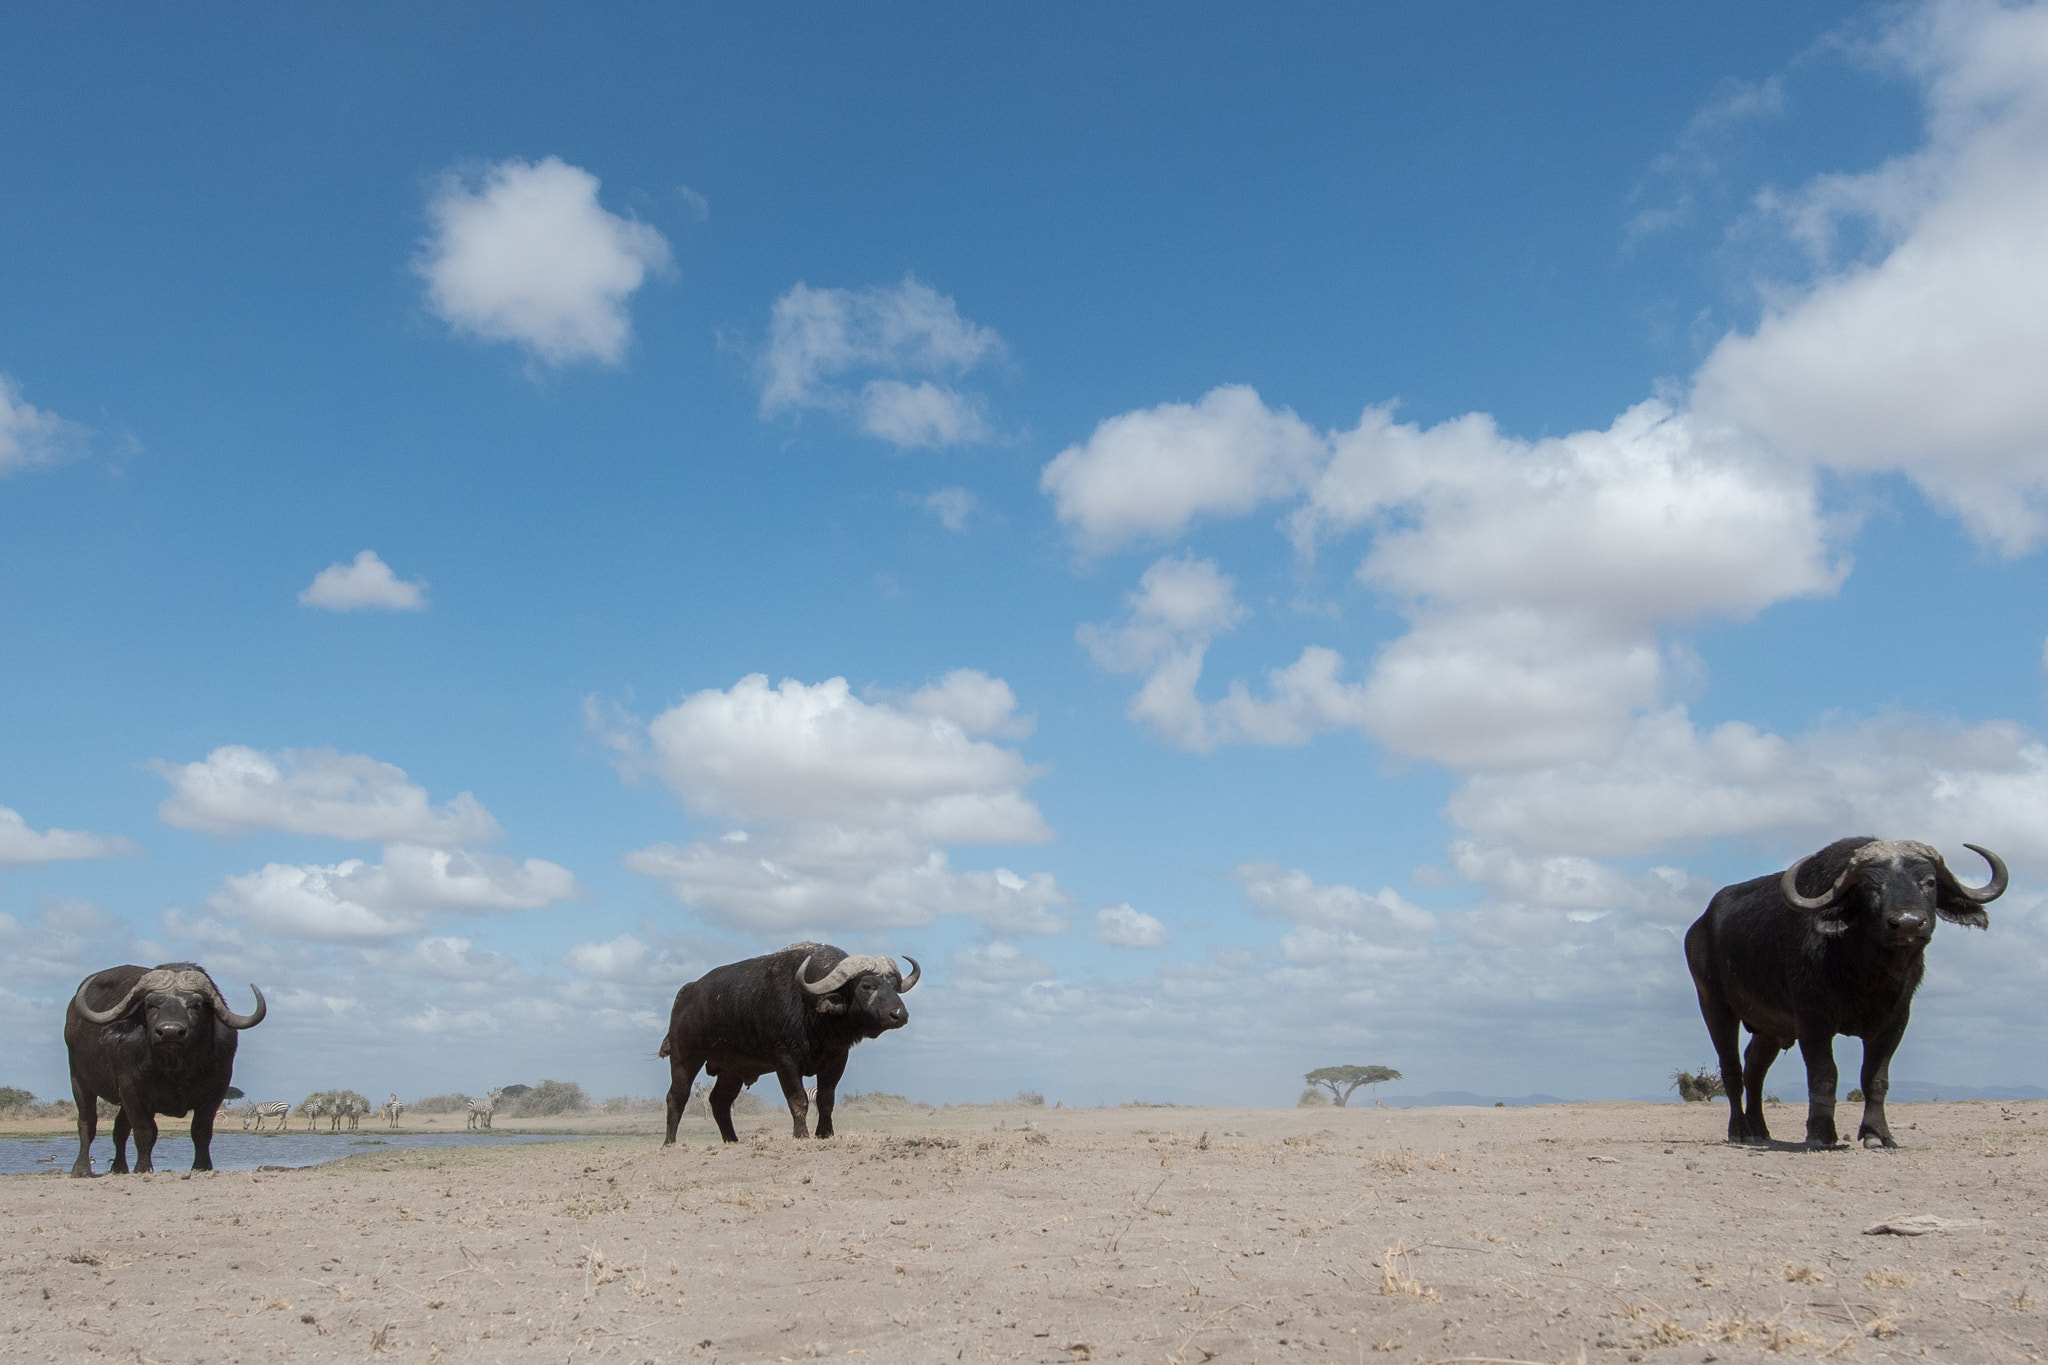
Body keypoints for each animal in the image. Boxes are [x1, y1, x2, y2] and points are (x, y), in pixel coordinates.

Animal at [64, 962, 267, 1177]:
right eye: (151, 1005)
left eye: (195, 1005)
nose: (170, 1032)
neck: (174, 1068)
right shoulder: (131, 1090)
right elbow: (145, 1131)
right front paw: (143, 1167)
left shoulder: (217, 1091)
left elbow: (201, 1130)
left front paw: (202, 1165)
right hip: (78, 1081)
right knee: (87, 1124)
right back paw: (81, 1169)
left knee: (120, 1129)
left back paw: (119, 1168)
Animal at [660, 942, 919, 1145]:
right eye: (867, 986)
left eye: (893, 986)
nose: (899, 1014)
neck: (810, 1008)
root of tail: (688, 991)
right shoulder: (785, 1060)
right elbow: (798, 1098)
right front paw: (801, 1134)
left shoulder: (837, 1058)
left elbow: (826, 1099)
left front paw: (825, 1133)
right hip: (684, 1058)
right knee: (677, 1096)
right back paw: (669, 1142)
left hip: (731, 1070)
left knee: (719, 1101)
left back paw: (732, 1140)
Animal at [1685, 838, 2004, 1149]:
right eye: (1870, 886)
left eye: (1929, 882)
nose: (1908, 922)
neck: (1866, 974)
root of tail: (1697, 928)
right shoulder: (1813, 1021)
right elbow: (1824, 1075)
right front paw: (1821, 1133)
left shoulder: (1895, 1022)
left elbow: (1875, 1078)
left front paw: (1878, 1134)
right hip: (1714, 1005)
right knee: (1732, 1069)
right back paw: (1739, 1131)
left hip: (1770, 1027)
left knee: (1754, 1069)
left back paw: (1759, 1131)